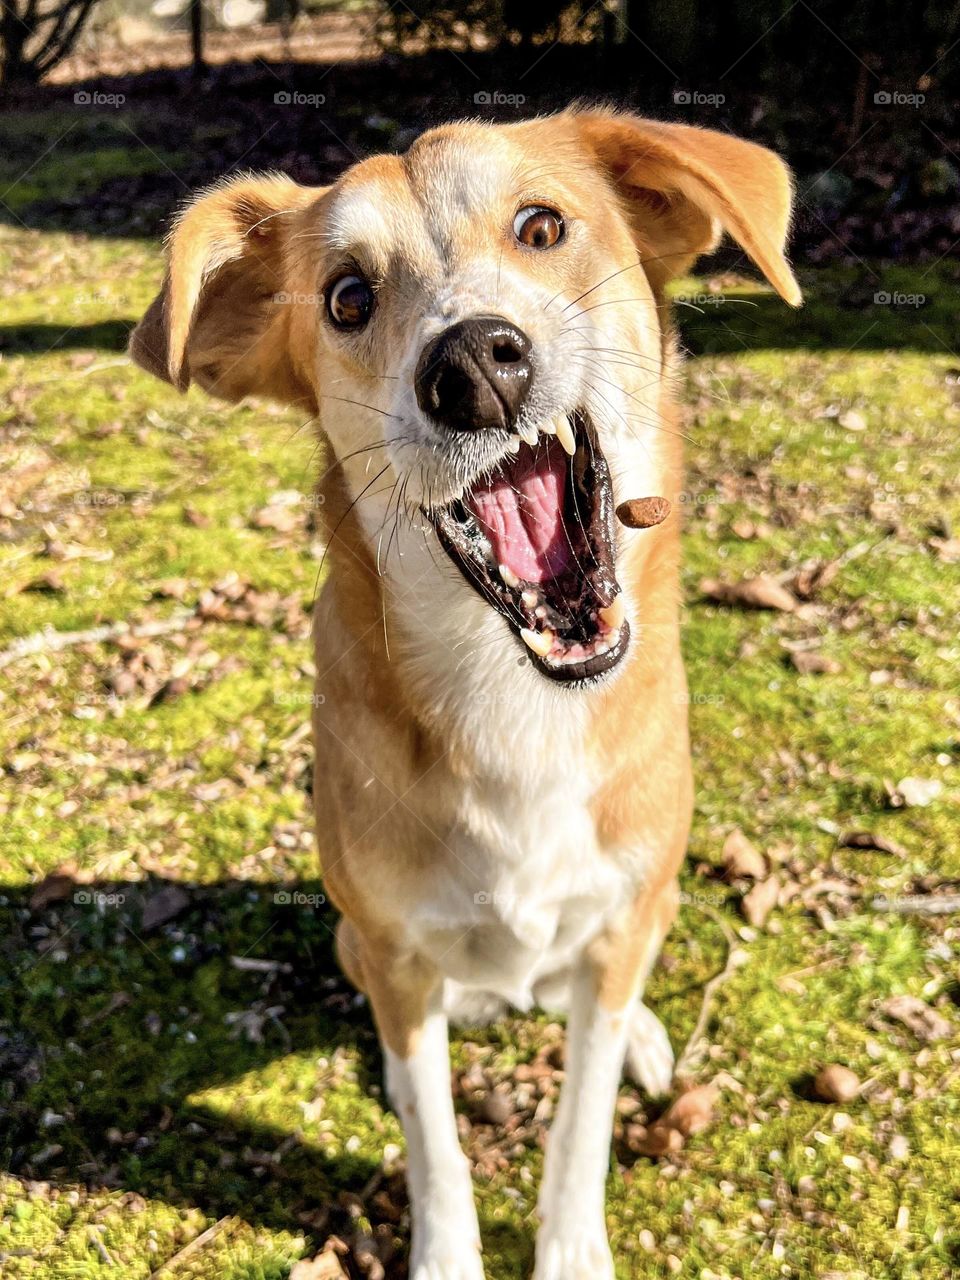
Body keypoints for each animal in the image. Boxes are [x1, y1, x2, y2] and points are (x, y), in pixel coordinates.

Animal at [131, 112, 798, 1280]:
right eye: (349, 296)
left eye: (541, 227)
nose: (474, 363)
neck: (518, 699)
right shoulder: (395, 959)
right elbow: (434, 1138)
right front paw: (445, 1248)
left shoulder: (622, 924)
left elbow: (579, 1121)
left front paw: (571, 1247)